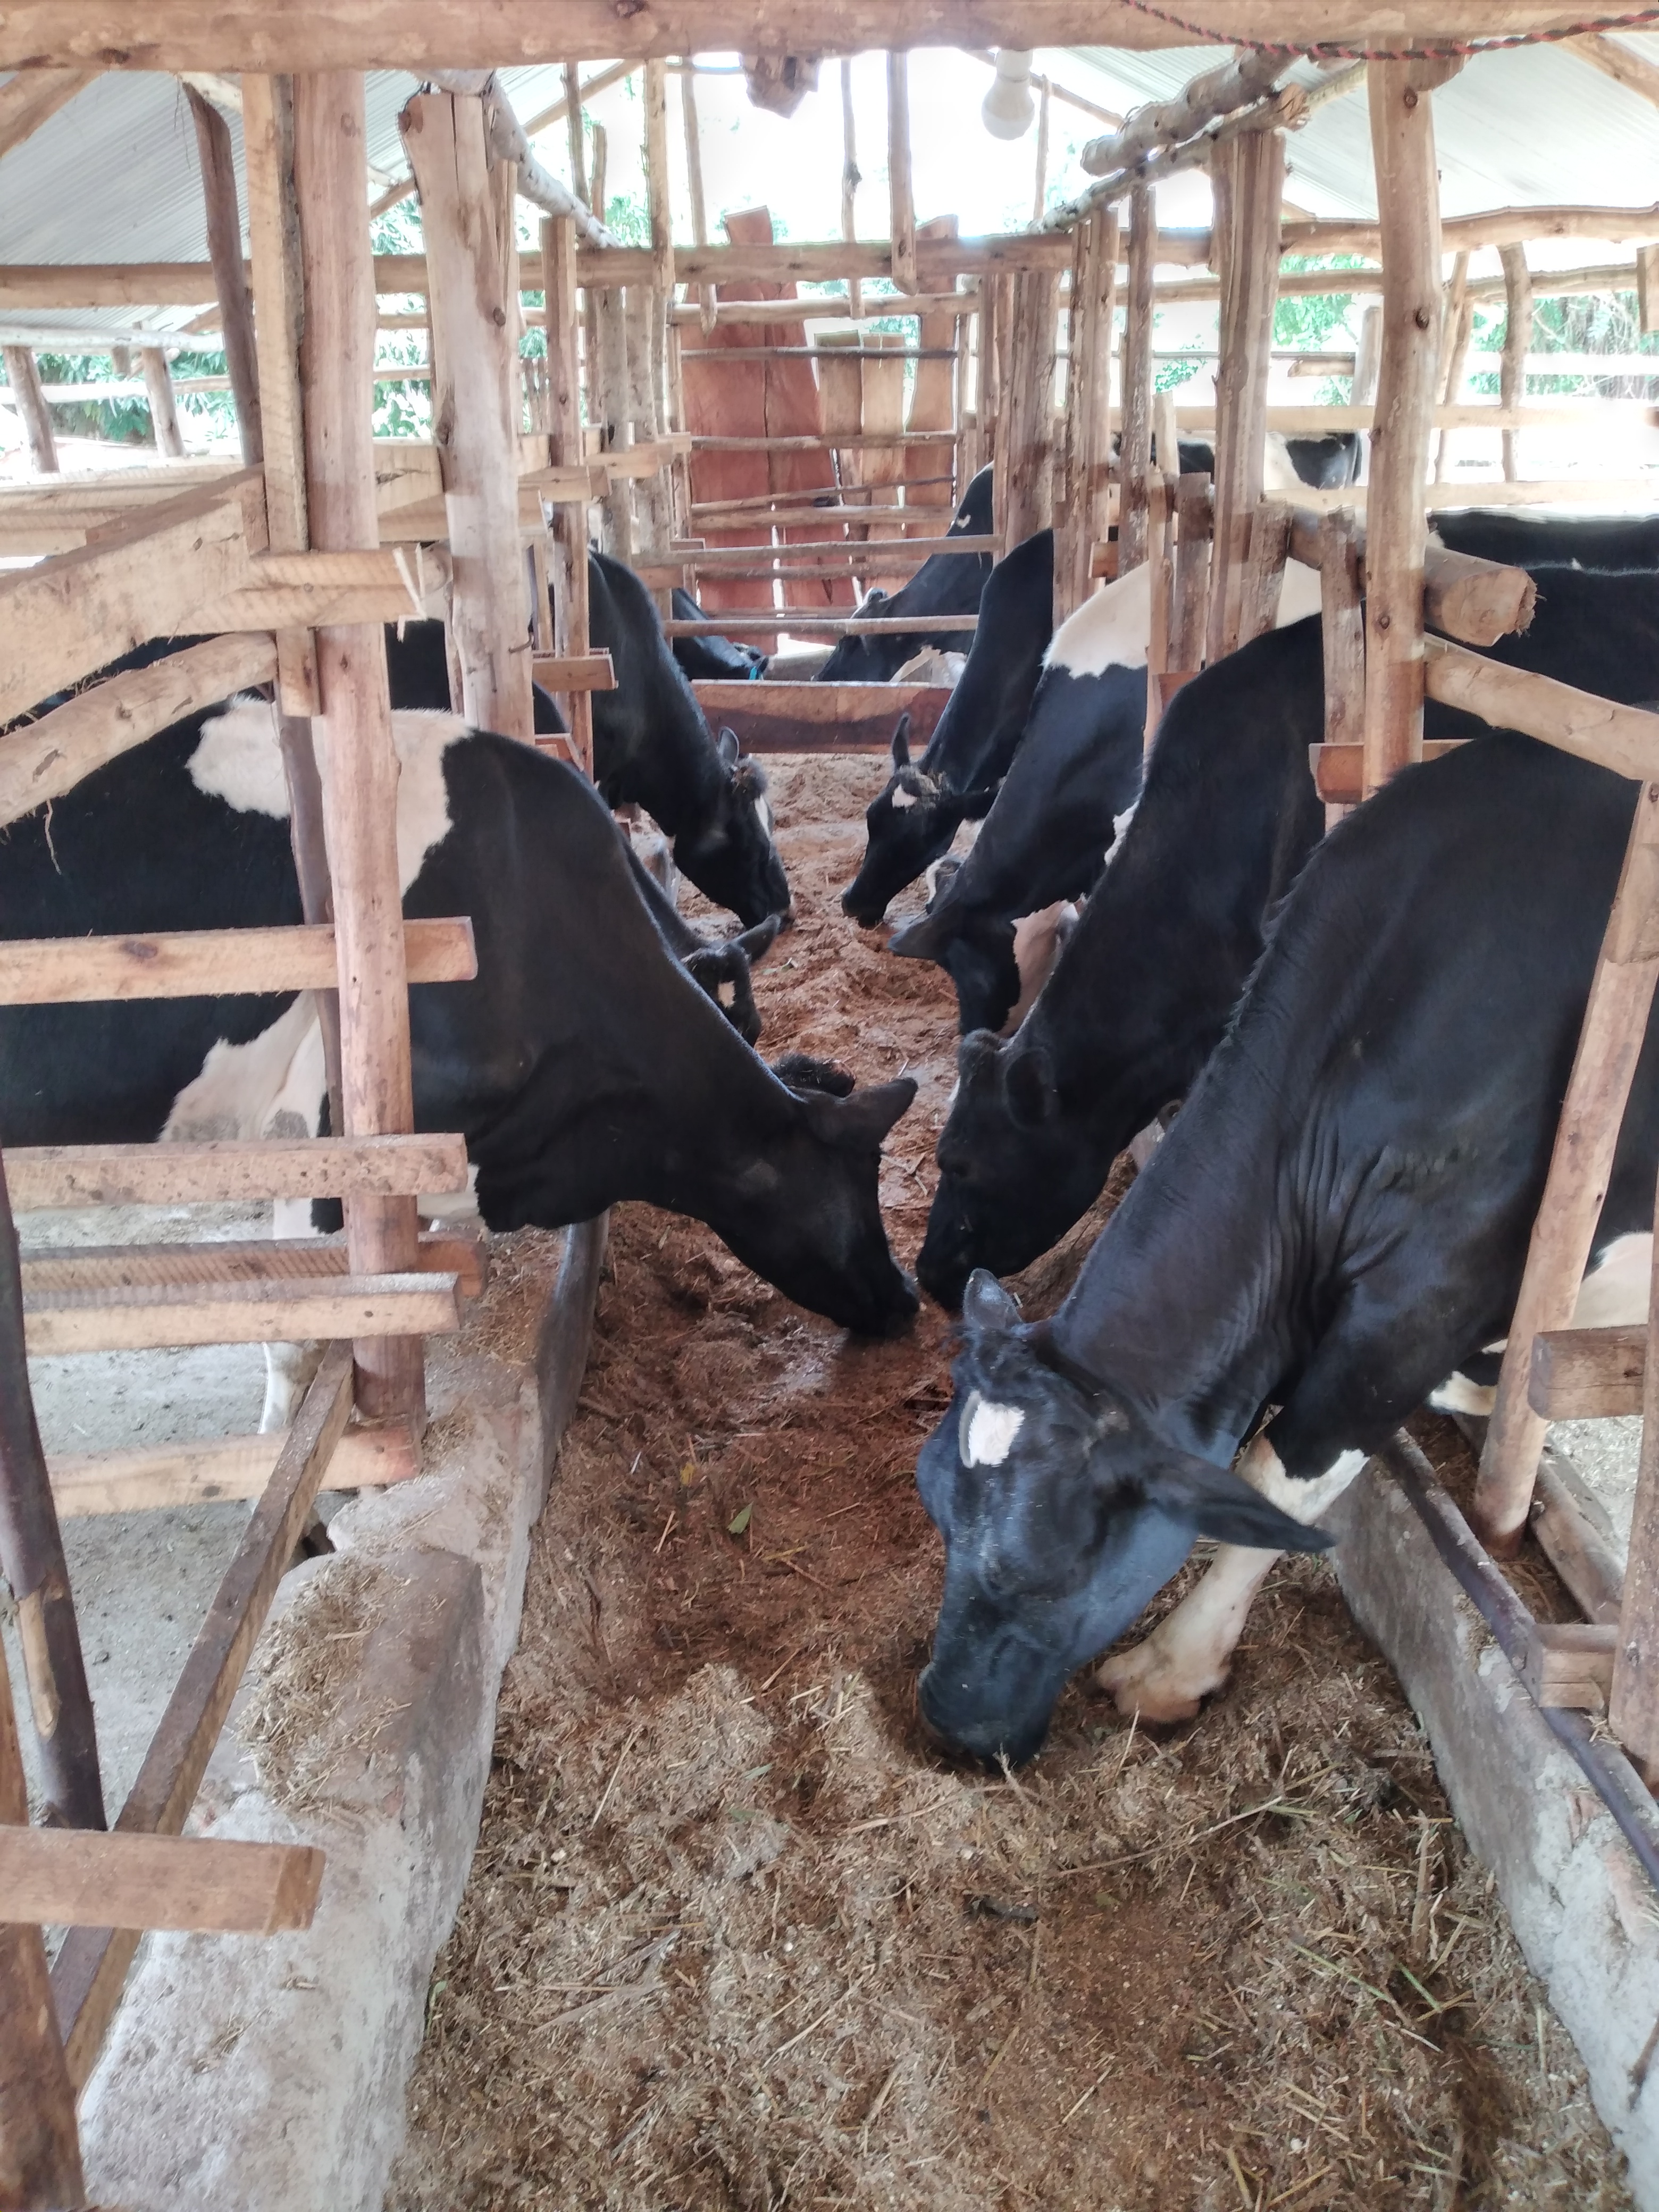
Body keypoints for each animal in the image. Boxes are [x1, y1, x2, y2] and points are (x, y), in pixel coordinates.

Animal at [915, 725, 1659, 1765]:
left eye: (1042, 1576)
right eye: (935, 1509)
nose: (945, 1721)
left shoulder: (1421, 1302)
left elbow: (1279, 1481)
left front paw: (1168, 1668)